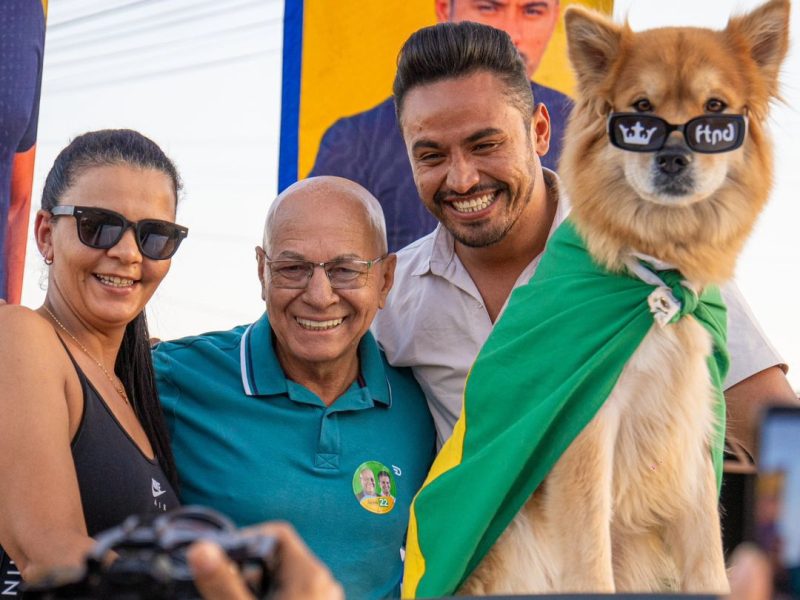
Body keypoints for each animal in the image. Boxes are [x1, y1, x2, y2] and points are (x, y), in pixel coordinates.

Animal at [460, 0, 792, 592]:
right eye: (640, 113)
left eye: (715, 112)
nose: (674, 159)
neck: (652, 275)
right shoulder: (586, 430)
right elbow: (590, 561)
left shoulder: (693, 426)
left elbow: (708, 559)